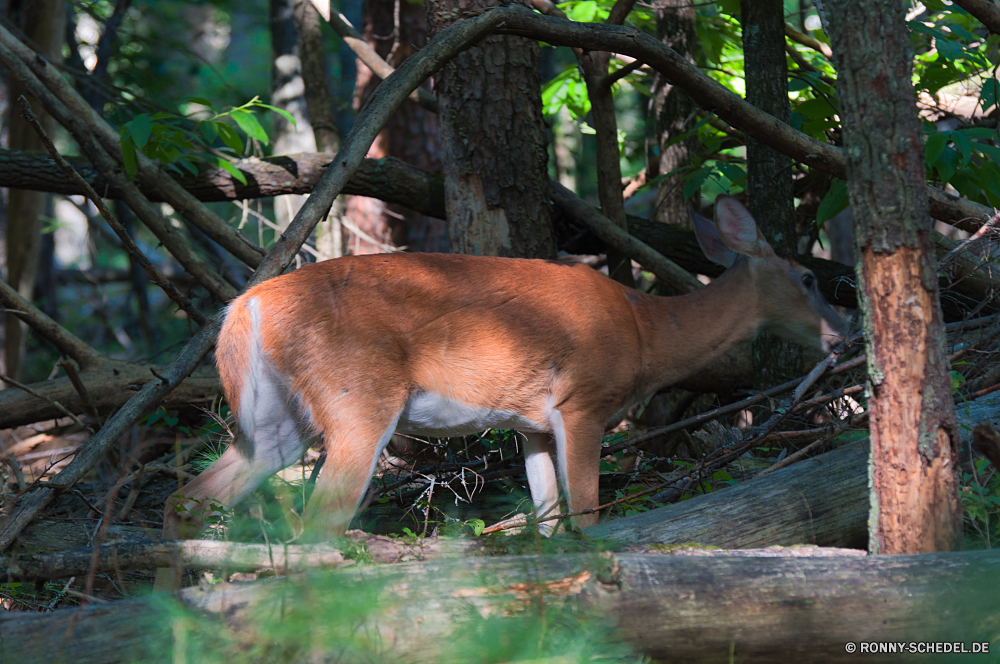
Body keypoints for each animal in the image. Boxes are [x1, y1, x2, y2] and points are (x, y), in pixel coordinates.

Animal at [154, 196, 844, 588]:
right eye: (810, 278)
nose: (841, 331)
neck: (647, 329)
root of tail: (246, 305)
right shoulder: (583, 401)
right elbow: (587, 517)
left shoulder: (532, 422)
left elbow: (548, 521)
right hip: (358, 400)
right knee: (316, 528)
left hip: (274, 421)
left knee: (187, 500)